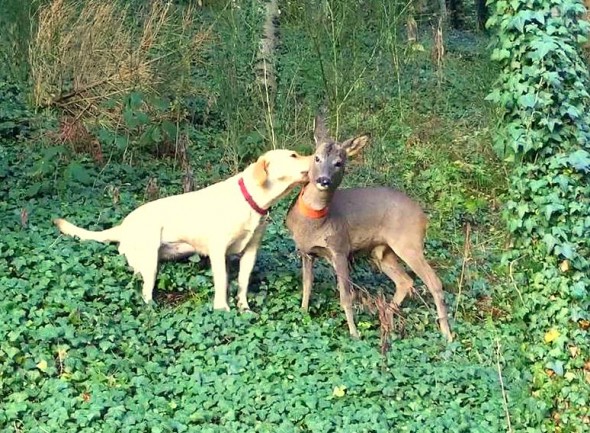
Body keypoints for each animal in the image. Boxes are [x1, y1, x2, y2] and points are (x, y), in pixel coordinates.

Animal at [286, 115, 454, 340]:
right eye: (317, 158)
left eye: (339, 162)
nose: (324, 180)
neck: (314, 223)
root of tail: (423, 215)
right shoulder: (306, 252)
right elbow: (306, 286)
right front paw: (303, 314)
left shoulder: (340, 249)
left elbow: (346, 296)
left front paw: (354, 334)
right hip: (382, 252)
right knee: (405, 281)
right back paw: (387, 320)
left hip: (409, 243)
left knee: (433, 281)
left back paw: (447, 334)